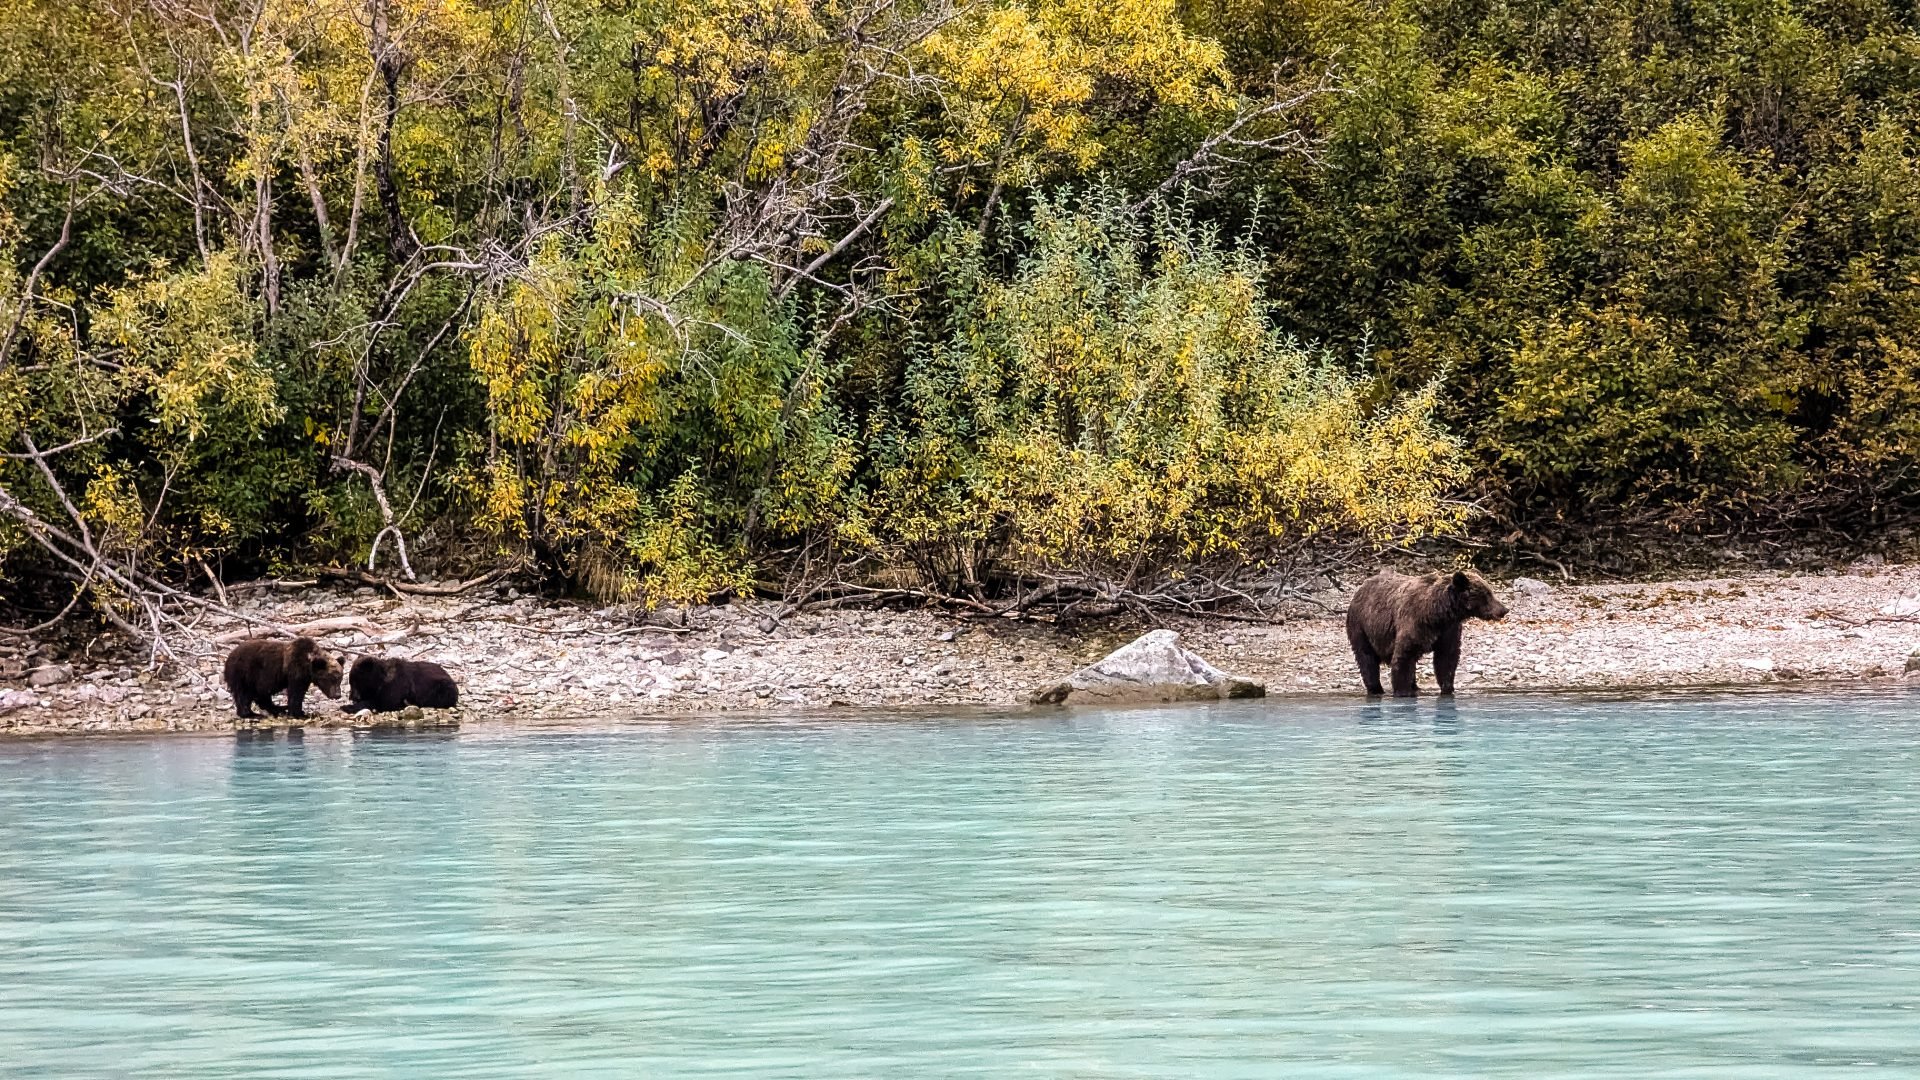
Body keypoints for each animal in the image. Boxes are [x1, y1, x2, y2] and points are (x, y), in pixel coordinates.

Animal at [1344, 568, 1505, 691]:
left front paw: (1448, 688)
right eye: (1486, 594)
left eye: (1490, 592)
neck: (1438, 614)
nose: (1504, 609)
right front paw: (1403, 691)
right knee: (1366, 658)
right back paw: (1376, 688)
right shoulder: (1414, 624)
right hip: (1362, 627)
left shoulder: (1448, 630)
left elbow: (1446, 660)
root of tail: (1361, 587)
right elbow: (1403, 660)